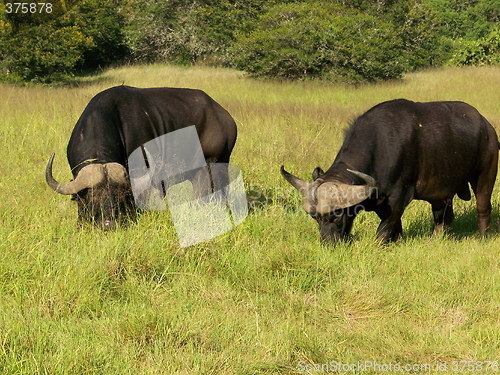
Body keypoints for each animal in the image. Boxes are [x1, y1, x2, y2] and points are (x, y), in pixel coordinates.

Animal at [284, 98, 498, 242]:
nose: (329, 242)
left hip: (485, 175)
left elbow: (383, 231)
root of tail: (487, 127)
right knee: (444, 216)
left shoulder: (398, 196)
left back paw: (482, 237)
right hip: (442, 190)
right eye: (315, 217)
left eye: (336, 215)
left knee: (483, 208)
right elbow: (396, 227)